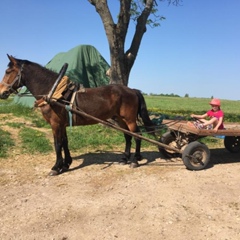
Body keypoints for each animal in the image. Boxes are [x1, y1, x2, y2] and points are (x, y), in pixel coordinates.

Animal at [0, 54, 155, 174]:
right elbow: (64, 142)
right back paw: (125, 158)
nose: (2, 92)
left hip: (129, 119)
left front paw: (56, 167)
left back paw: (135, 160)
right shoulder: (62, 124)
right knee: (128, 136)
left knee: (137, 135)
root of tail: (132, 90)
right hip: (120, 119)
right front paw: (66, 164)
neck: (54, 92)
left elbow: (57, 144)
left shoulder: (55, 124)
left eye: (8, 71)